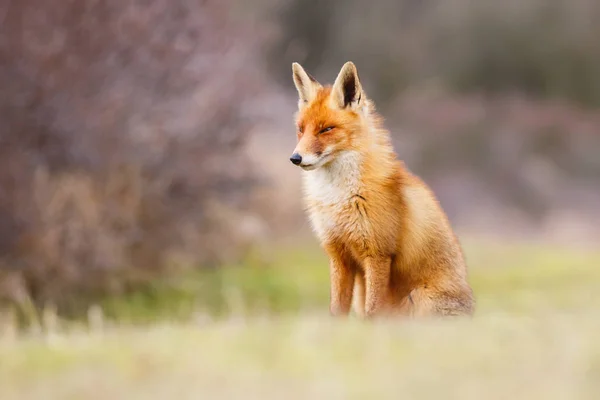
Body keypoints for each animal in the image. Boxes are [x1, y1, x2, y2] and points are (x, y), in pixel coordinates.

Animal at [288, 61, 476, 318]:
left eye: (326, 129)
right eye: (301, 129)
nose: (295, 158)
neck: (340, 197)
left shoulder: (377, 253)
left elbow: (373, 312)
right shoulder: (338, 254)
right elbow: (337, 311)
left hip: (418, 298)